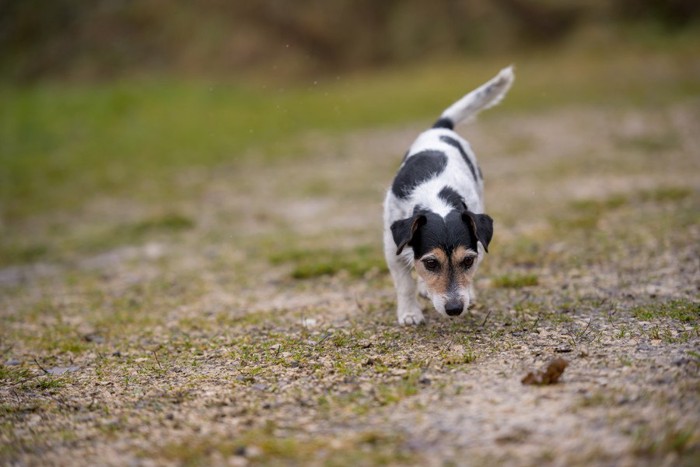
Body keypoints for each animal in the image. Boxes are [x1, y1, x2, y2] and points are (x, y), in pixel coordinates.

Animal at [382, 66, 516, 326]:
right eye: (431, 263)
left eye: (467, 261)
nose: (455, 308)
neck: (436, 196)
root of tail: (440, 128)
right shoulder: (392, 248)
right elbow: (404, 284)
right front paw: (409, 313)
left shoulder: (477, 246)